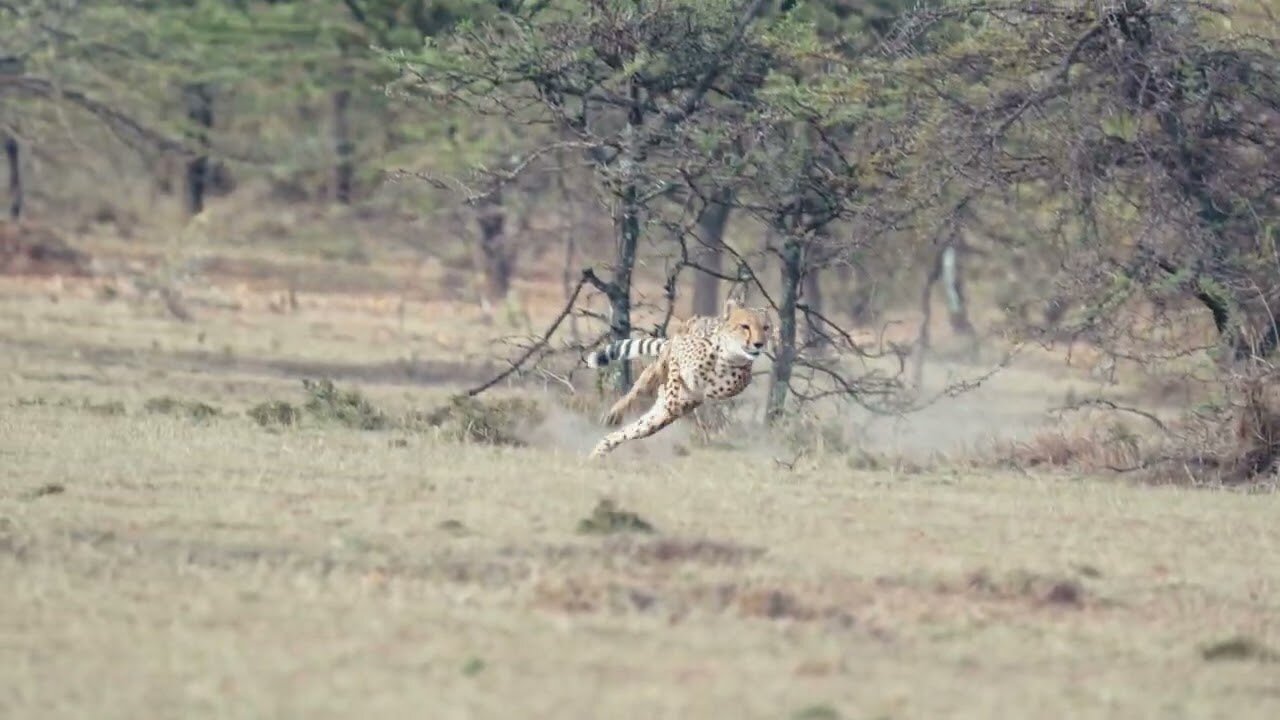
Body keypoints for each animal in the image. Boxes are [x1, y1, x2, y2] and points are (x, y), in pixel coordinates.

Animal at [586, 298, 773, 456]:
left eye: (766, 328)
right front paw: (673, 400)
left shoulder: (719, 389)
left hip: (654, 422)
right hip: (658, 369)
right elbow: (675, 383)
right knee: (637, 391)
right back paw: (614, 415)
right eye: (745, 326)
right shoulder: (677, 355)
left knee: (631, 430)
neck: (729, 356)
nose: (759, 344)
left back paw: (599, 451)